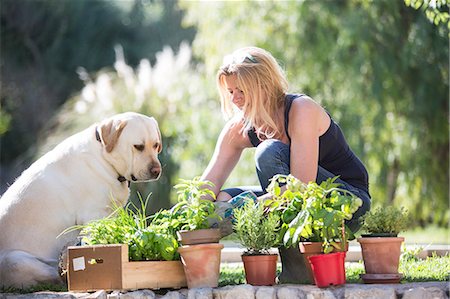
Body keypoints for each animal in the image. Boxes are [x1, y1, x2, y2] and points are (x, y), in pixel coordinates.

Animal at [0, 112, 162, 288]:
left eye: (156, 145)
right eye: (138, 146)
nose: (157, 171)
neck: (104, 157)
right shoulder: (93, 216)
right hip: (15, 260)